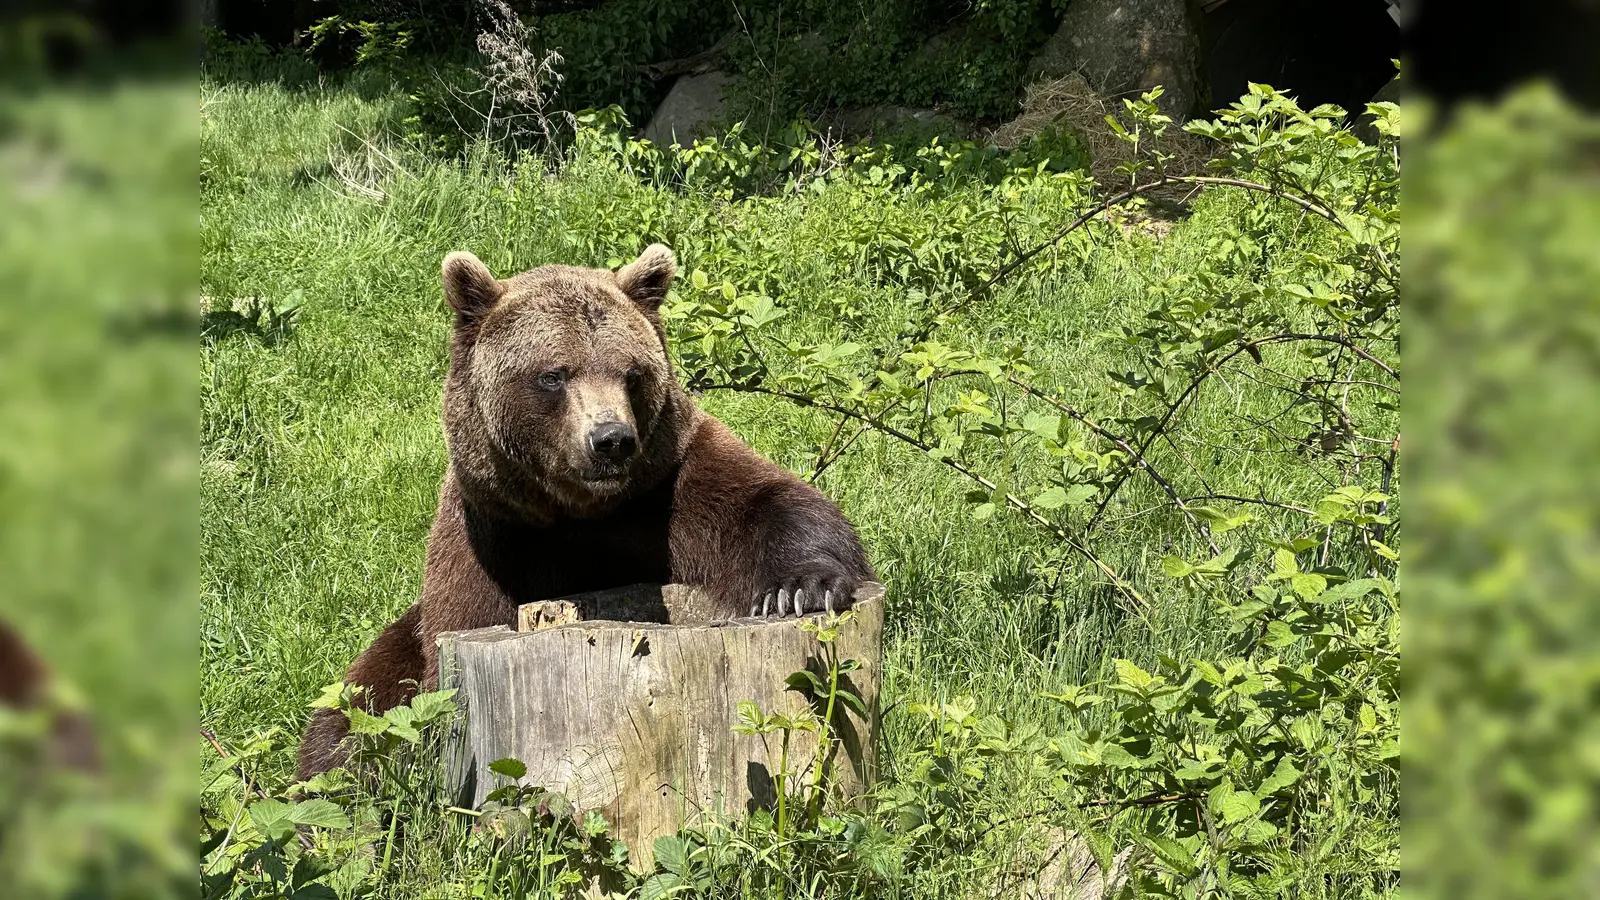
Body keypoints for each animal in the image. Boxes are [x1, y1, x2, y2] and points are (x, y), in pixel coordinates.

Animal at [296, 244, 876, 779]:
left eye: (632, 373)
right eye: (554, 374)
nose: (611, 439)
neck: (577, 512)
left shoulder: (666, 486)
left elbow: (770, 504)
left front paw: (798, 588)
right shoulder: (493, 539)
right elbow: (446, 655)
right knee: (352, 710)